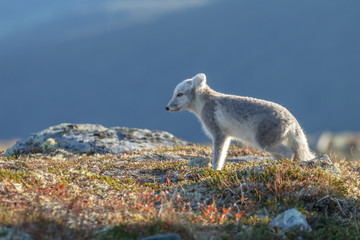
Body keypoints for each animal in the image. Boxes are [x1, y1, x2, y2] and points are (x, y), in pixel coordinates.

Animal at [166, 73, 316, 171]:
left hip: (264, 143)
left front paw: (215, 171)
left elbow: (217, 158)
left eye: (179, 94)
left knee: (289, 152)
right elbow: (223, 156)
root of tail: (293, 120)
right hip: (270, 148)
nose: (166, 107)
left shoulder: (218, 134)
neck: (204, 103)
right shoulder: (227, 137)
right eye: (174, 93)